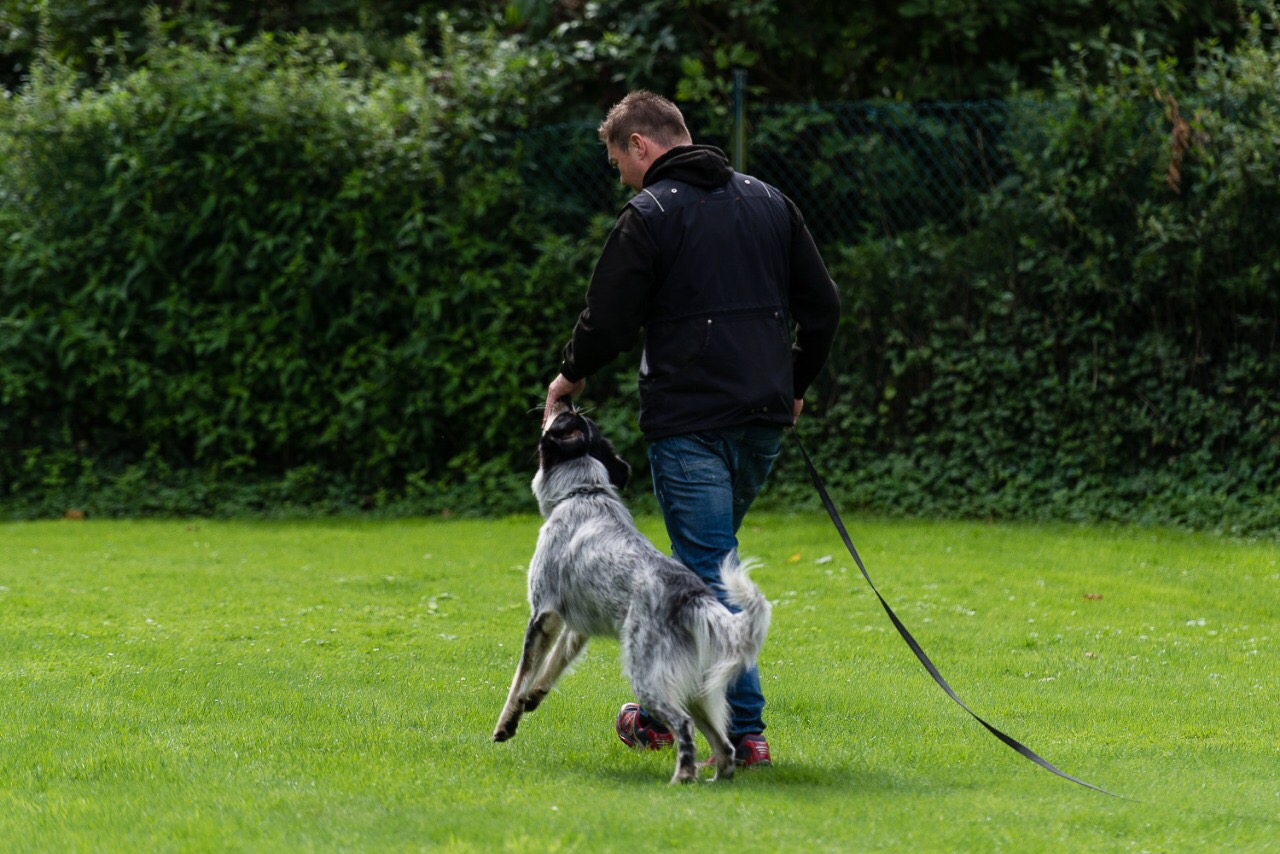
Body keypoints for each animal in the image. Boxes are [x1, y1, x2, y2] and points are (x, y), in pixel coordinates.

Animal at [491, 408, 771, 783]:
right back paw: (714, 778)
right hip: (695, 687)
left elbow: (519, 677)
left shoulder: (543, 614)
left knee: (684, 726)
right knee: (724, 745)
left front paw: (506, 723)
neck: (582, 492)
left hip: (648, 679)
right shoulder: (576, 627)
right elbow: (551, 667)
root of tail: (694, 598)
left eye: (563, 416)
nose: (563, 402)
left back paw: (682, 778)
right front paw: (534, 697)